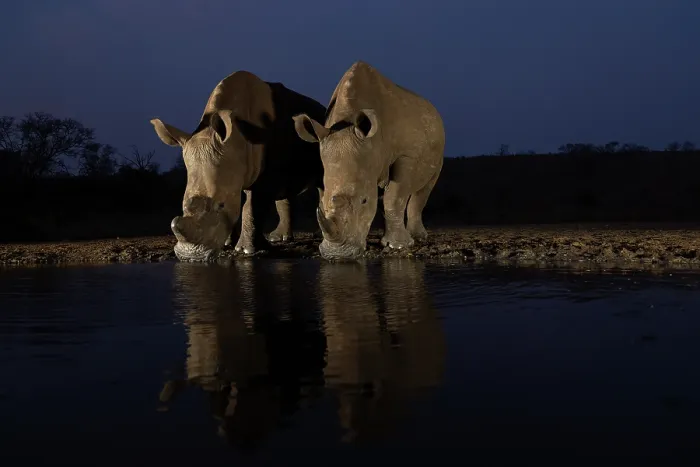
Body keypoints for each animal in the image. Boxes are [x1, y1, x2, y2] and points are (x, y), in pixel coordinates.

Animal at [150, 71, 326, 262]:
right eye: (183, 204)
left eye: (221, 205)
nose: (191, 257)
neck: (239, 139)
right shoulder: (233, 167)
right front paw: (228, 244)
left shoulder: (263, 175)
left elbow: (252, 207)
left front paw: (246, 250)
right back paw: (279, 238)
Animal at [292, 61, 445, 261]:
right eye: (324, 204)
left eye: (364, 201)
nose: (337, 255)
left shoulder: (406, 156)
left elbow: (395, 196)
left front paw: (400, 246)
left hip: (438, 149)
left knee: (423, 188)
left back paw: (417, 237)